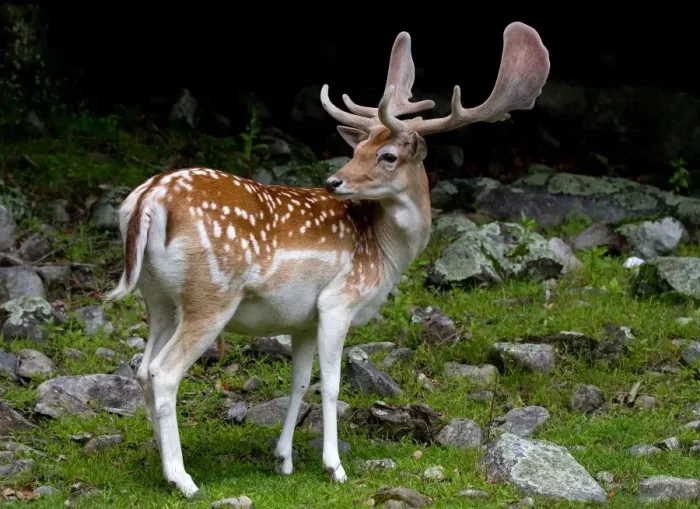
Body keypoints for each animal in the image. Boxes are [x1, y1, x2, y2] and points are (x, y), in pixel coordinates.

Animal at [104, 21, 550, 498]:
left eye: (386, 154)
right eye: (357, 150)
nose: (334, 181)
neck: (383, 252)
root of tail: (147, 201)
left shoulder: (301, 318)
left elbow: (300, 381)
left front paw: (283, 459)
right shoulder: (338, 301)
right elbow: (333, 385)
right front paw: (334, 467)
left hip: (158, 298)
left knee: (143, 369)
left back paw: (161, 466)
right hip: (211, 295)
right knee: (165, 373)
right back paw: (183, 479)